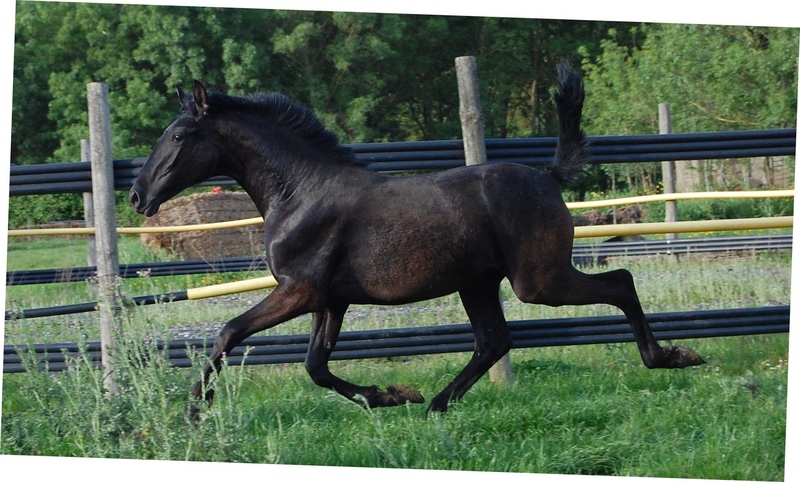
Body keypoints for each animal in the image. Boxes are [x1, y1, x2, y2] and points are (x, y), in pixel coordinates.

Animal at [129, 64, 705, 420]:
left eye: (178, 135)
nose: (137, 196)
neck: (299, 192)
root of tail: (549, 177)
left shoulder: (300, 291)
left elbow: (229, 331)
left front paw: (194, 412)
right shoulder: (330, 300)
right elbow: (316, 366)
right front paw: (392, 395)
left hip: (537, 280)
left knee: (620, 282)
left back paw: (671, 357)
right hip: (480, 283)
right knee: (495, 341)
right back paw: (435, 405)